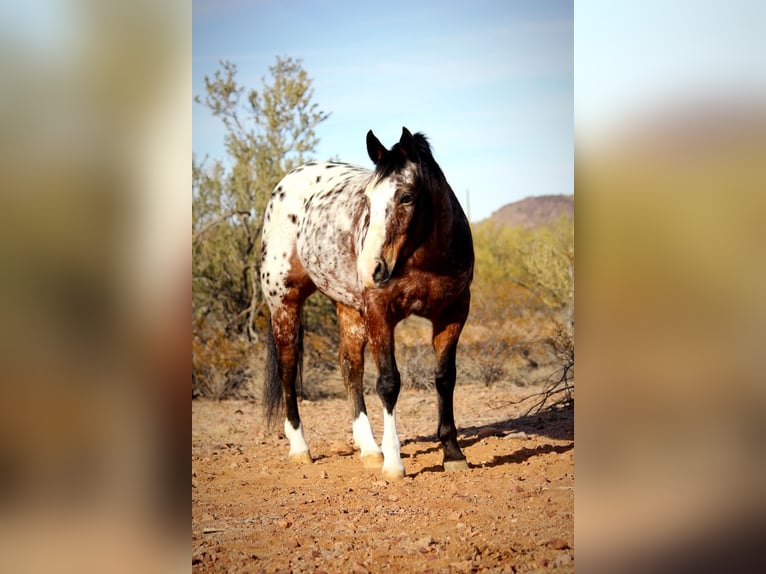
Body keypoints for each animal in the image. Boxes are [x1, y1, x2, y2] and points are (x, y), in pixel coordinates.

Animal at [260, 127, 474, 482]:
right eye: (368, 200)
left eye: (406, 197)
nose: (370, 268)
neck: (424, 259)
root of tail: (287, 182)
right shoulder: (379, 313)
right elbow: (388, 383)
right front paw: (394, 464)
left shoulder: (452, 313)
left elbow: (445, 378)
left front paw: (453, 453)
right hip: (285, 303)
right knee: (288, 371)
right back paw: (301, 447)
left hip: (348, 309)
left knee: (350, 367)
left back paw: (370, 448)